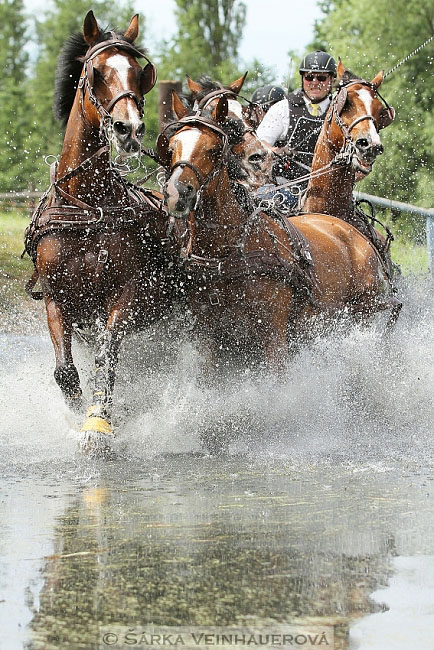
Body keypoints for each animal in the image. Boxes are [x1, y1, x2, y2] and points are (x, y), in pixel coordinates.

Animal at [23, 11, 170, 456]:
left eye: (140, 73)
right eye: (96, 72)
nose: (129, 129)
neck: (87, 207)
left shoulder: (122, 295)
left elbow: (107, 359)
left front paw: (98, 423)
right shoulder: (57, 299)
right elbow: (66, 372)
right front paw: (77, 415)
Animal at [159, 80, 400, 364]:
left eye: (213, 149)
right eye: (171, 148)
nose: (177, 193)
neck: (226, 251)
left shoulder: (274, 340)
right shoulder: (212, 342)